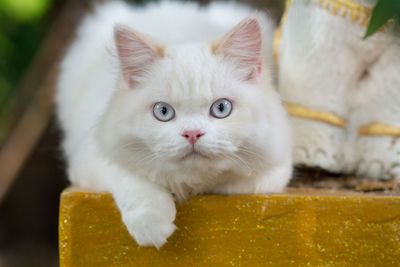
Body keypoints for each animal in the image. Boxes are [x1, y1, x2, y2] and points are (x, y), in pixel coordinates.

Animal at [56, 1, 290, 250]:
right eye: (163, 112)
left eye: (221, 108)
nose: (192, 133)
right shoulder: (90, 157)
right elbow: (134, 178)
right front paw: (151, 225)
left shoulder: (275, 168)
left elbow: (234, 179)